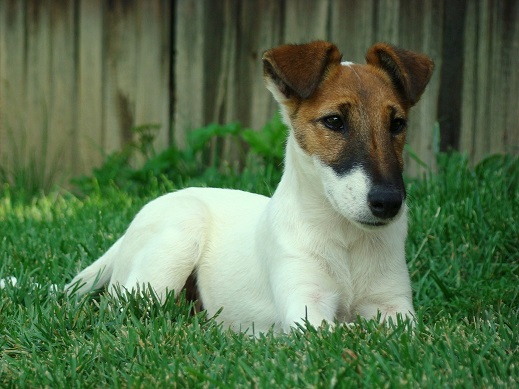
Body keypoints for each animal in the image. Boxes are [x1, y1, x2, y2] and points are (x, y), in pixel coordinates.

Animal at [64, 41, 434, 332]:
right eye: (334, 121)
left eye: (397, 124)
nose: (388, 202)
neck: (346, 238)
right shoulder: (307, 310)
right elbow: (344, 333)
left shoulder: (394, 305)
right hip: (173, 247)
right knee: (120, 309)